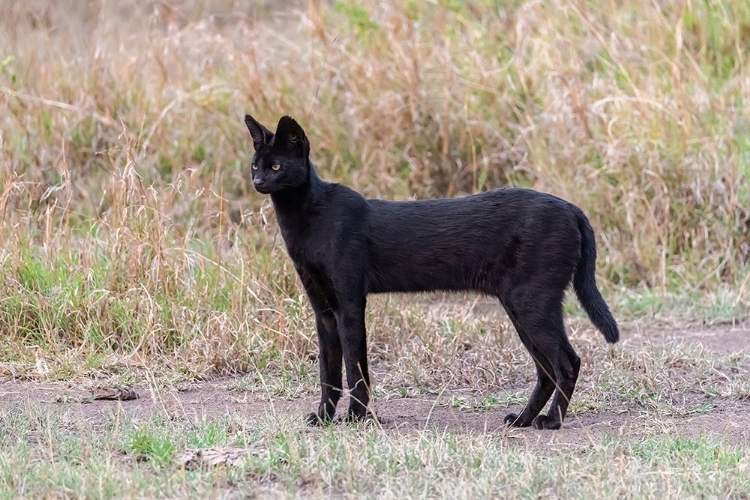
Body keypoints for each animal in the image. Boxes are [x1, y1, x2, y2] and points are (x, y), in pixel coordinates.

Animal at [244, 114, 620, 430]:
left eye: (276, 165)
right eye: (254, 164)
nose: (259, 180)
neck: (308, 220)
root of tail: (572, 208)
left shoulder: (350, 302)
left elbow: (355, 367)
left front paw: (355, 418)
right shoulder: (321, 307)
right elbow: (328, 369)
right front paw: (323, 417)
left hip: (532, 302)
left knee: (567, 362)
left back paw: (551, 422)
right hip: (522, 307)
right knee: (546, 369)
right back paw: (522, 420)